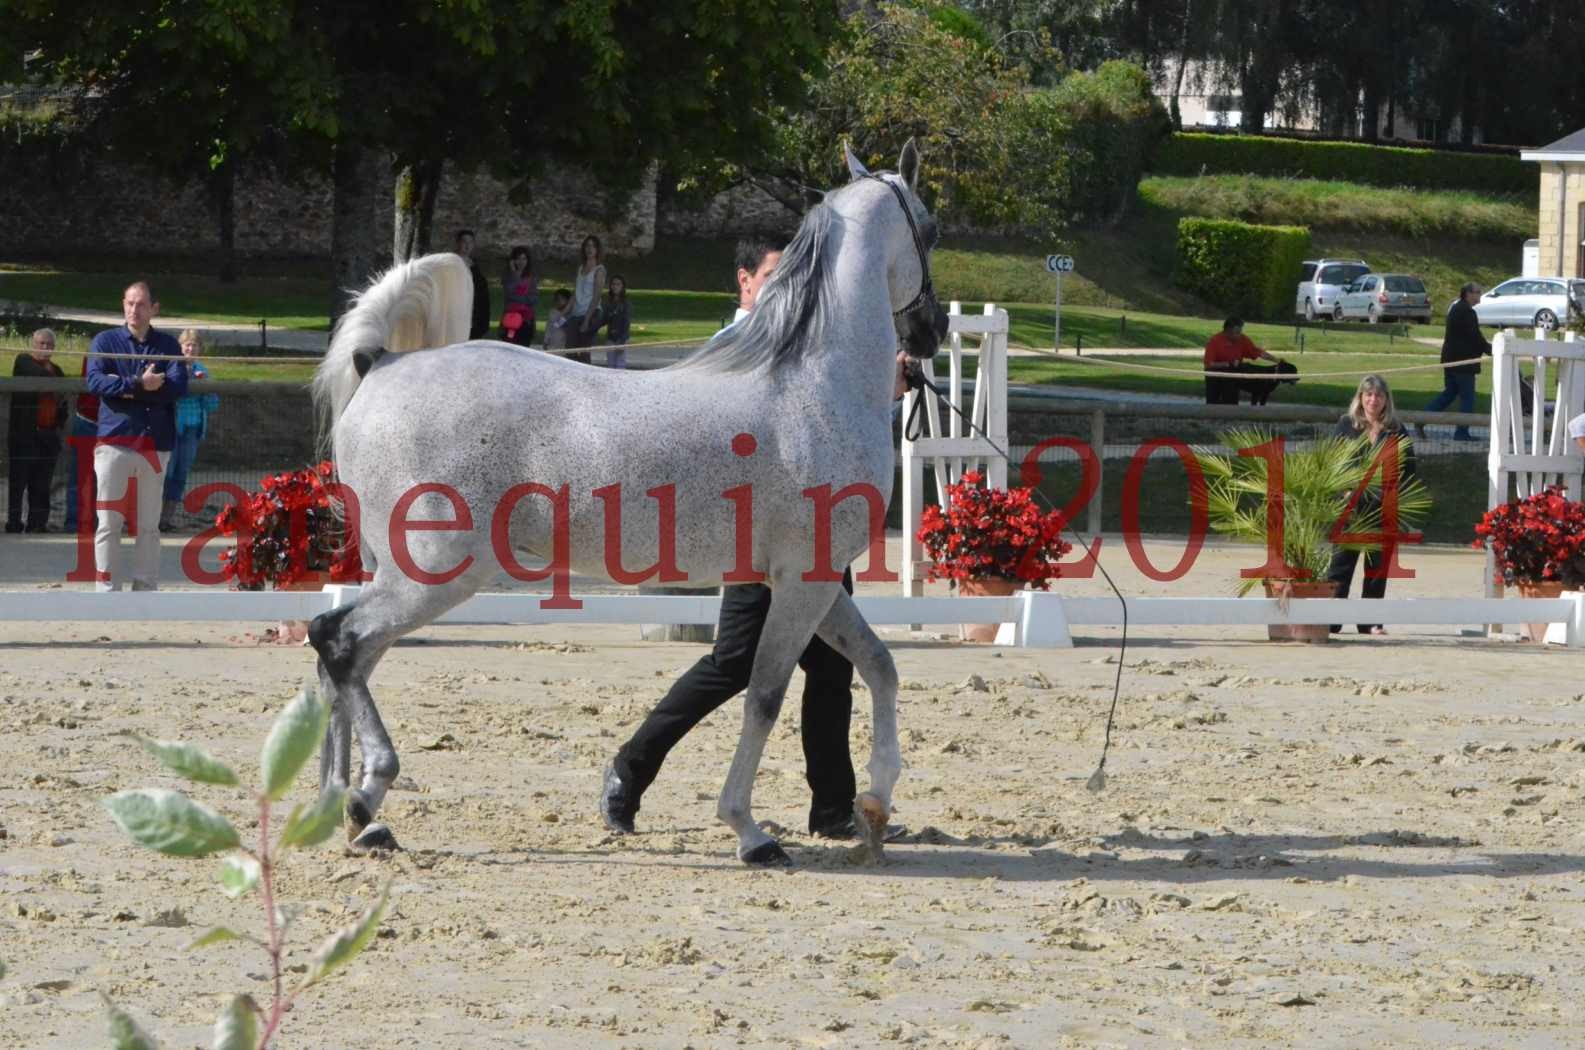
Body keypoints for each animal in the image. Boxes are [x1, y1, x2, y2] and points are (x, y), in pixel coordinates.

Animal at [315, 144, 944, 869]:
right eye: (930, 230)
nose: (932, 331)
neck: (813, 386)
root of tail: (381, 363)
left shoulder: (810, 582)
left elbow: (879, 665)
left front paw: (875, 805)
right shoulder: (802, 585)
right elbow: (764, 696)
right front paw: (750, 832)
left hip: (398, 573)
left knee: (343, 658)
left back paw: (346, 812)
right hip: (435, 574)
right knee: (337, 641)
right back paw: (364, 800)